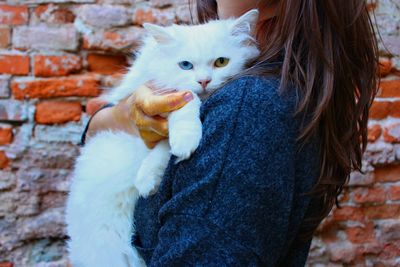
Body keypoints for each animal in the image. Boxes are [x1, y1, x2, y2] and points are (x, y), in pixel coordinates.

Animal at [65, 9, 260, 266]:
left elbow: (165, 147)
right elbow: (187, 100)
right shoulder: (159, 92)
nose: (204, 81)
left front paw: (154, 173)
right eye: (185, 65)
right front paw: (183, 140)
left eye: (221, 62)